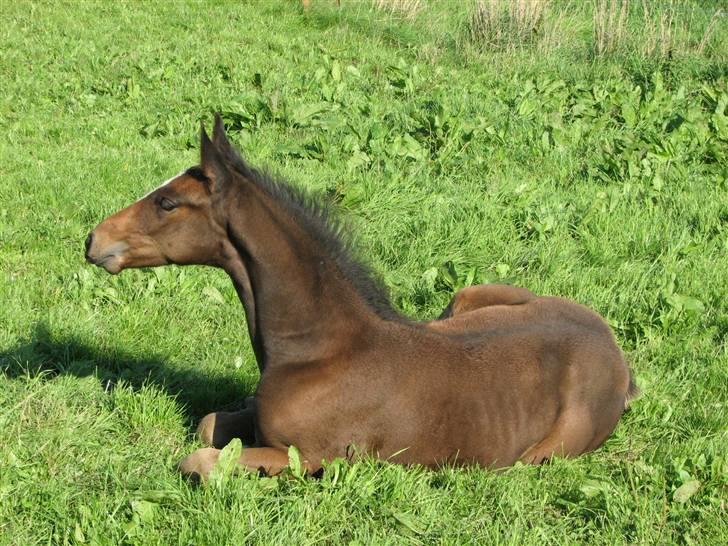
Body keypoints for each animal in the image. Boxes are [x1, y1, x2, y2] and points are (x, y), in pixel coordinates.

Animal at [86, 113, 636, 476]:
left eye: (167, 202)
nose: (93, 239)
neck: (321, 351)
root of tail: (614, 352)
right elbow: (207, 424)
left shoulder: (308, 457)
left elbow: (201, 459)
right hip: (468, 295)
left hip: (542, 455)